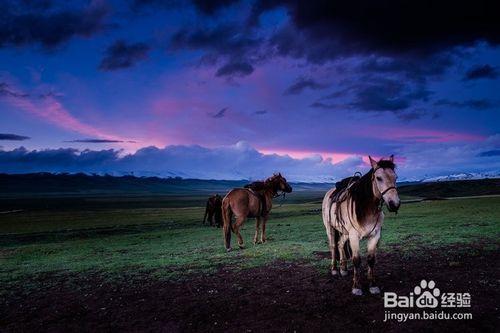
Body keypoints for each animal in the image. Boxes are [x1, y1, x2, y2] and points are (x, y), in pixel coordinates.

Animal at [322, 154, 400, 294]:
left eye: (395, 177)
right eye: (379, 178)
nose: (394, 204)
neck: (366, 208)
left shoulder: (375, 235)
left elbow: (371, 259)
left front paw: (373, 285)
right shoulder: (354, 236)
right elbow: (356, 260)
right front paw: (356, 287)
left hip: (345, 232)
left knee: (340, 244)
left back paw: (343, 268)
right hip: (330, 228)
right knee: (333, 246)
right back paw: (335, 269)